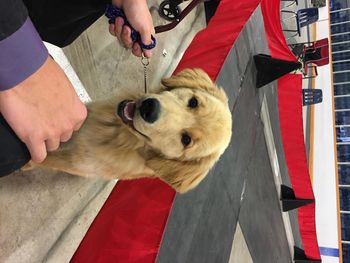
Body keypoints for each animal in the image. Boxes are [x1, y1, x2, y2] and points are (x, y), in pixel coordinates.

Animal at [35, 69, 232, 193]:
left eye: (186, 140)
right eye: (193, 102)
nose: (149, 109)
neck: (118, 134)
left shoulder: (77, 162)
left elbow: (43, 158)